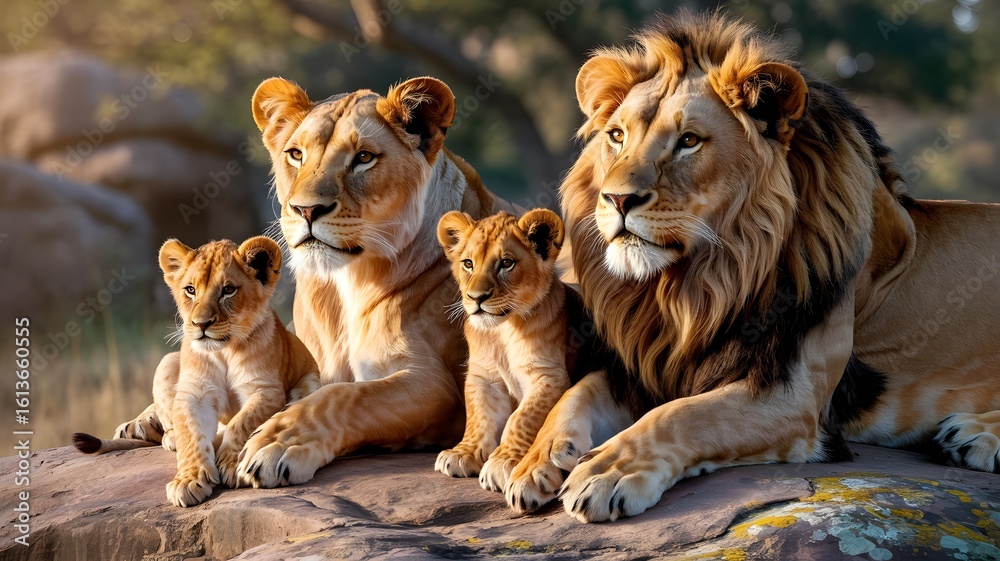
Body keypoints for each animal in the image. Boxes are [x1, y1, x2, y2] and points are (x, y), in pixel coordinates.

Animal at [74, 237, 320, 507]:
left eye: (228, 290)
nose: (201, 324)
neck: (224, 351)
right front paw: (188, 480)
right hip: (167, 361)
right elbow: (191, 434)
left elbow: (242, 422)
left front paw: (232, 463)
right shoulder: (194, 394)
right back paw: (169, 437)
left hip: (310, 381)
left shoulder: (265, 390)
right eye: (190, 290)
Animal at [433, 209, 597, 508]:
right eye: (468, 263)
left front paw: (502, 463)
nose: (476, 297)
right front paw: (463, 453)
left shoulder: (549, 376)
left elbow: (521, 418)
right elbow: (478, 416)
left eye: (506, 263)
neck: (502, 331)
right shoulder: (483, 377)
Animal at [505, 11, 1000, 523]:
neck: (695, 287)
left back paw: (974, 437)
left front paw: (606, 471)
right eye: (617, 136)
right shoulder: (646, 367)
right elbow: (575, 394)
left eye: (688, 141)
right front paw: (534, 462)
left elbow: (682, 415)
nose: (617, 199)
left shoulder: (792, 394)